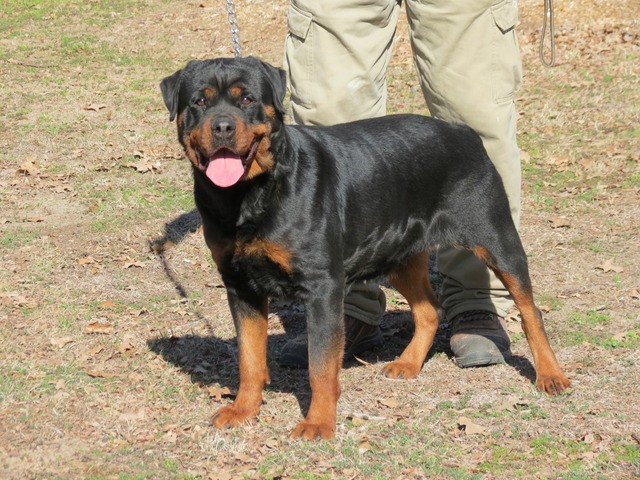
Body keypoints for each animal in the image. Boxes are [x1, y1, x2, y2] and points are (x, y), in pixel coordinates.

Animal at [161, 55, 568, 438]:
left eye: (246, 99)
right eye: (199, 101)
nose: (222, 126)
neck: (249, 195)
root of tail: (464, 131)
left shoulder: (323, 286)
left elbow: (321, 366)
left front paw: (318, 423)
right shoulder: (240, 284)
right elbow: (248, 358)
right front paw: (243, 411)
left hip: (496, 237)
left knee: (530, 310)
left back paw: (551, 375)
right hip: (399, 255)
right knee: (429, 310)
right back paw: (408, 363)